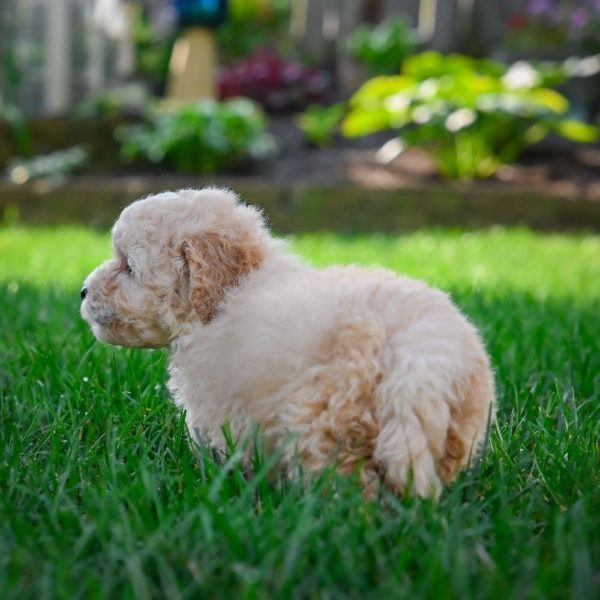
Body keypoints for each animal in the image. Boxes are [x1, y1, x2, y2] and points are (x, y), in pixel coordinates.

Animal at [82, 188, 494, 496]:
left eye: (129, 267)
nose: (83, 291)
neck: (229, 293)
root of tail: (419, 356)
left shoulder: (222, 403)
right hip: (460, 421)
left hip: (329, 418)